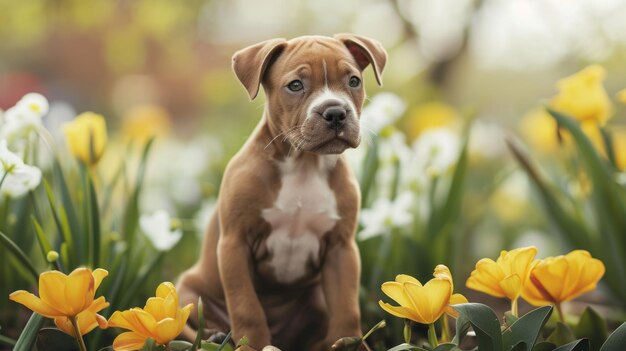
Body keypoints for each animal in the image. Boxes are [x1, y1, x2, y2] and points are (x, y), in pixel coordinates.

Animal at [176, 33, 386, 351]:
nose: (335, 112)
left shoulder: (342, 249)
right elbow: (246, 308)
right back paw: (216, 336)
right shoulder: (235, 244)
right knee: (186, 328)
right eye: (295, 85)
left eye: (353, 81)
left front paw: (350, 343)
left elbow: (347, 308)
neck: (304, 165)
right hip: (186, 291)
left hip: (316, 298)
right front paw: (252, 345)